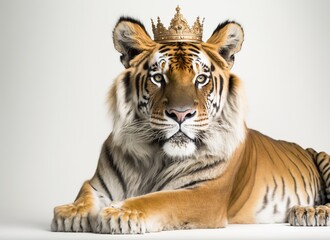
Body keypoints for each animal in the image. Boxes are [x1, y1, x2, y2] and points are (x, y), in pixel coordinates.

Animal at [50, 14, 330, 233]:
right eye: (158, 77)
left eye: (201, 78)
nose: (180, 114)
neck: (155, 158)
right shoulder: (97, 183)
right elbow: (85, 193)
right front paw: (71, 213)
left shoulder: (204, 194)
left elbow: (157, 200)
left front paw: (120, 213)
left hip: (323, 157)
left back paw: (311, 212)